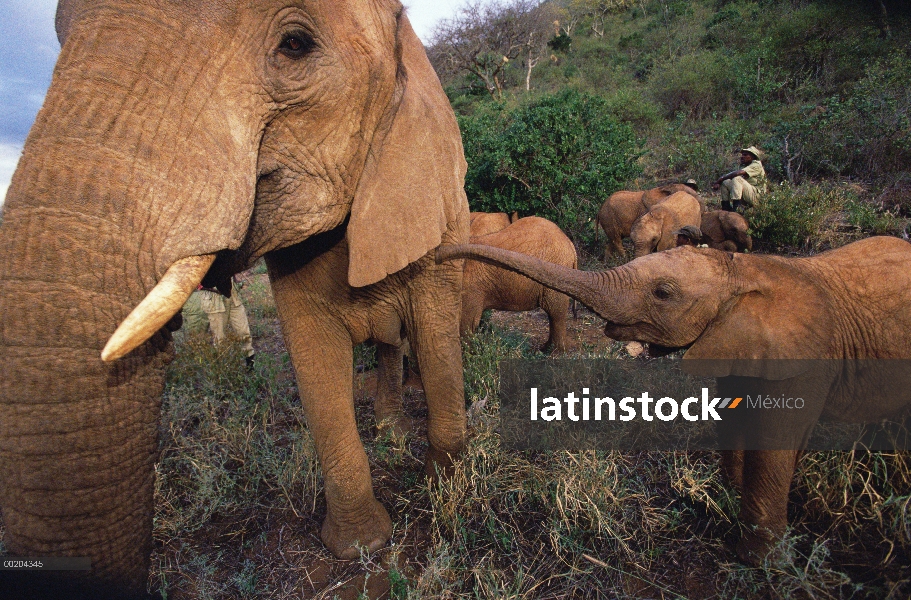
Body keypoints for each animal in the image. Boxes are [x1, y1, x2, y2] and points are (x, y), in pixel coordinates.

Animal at [0, 2, 466, 596]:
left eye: (296, 45)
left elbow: (436, 334)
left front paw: (444, 492)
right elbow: (315, 360)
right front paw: (360, 546)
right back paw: (389, 431)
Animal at [432, 237, 911, 564]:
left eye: (663, 293)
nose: (436, 256)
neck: (745, 271)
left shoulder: (803, 357)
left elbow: (773, 444)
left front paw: (759, 562)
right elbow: (733, 419)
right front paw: (724, 498)